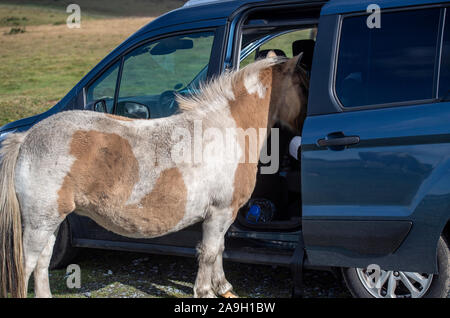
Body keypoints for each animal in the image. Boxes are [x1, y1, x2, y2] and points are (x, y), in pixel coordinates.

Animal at [0, 52, 308, 298]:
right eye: (303, 85)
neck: (227, 129)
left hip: (50, 221)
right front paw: (206, 292)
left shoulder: (221, 215)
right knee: (26, 266)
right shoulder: (220, 212)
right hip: (40, 222)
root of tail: (25, 138)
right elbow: (209, 253)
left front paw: (223, 287)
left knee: (42, 264)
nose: (305, 130)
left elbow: (219, 250)